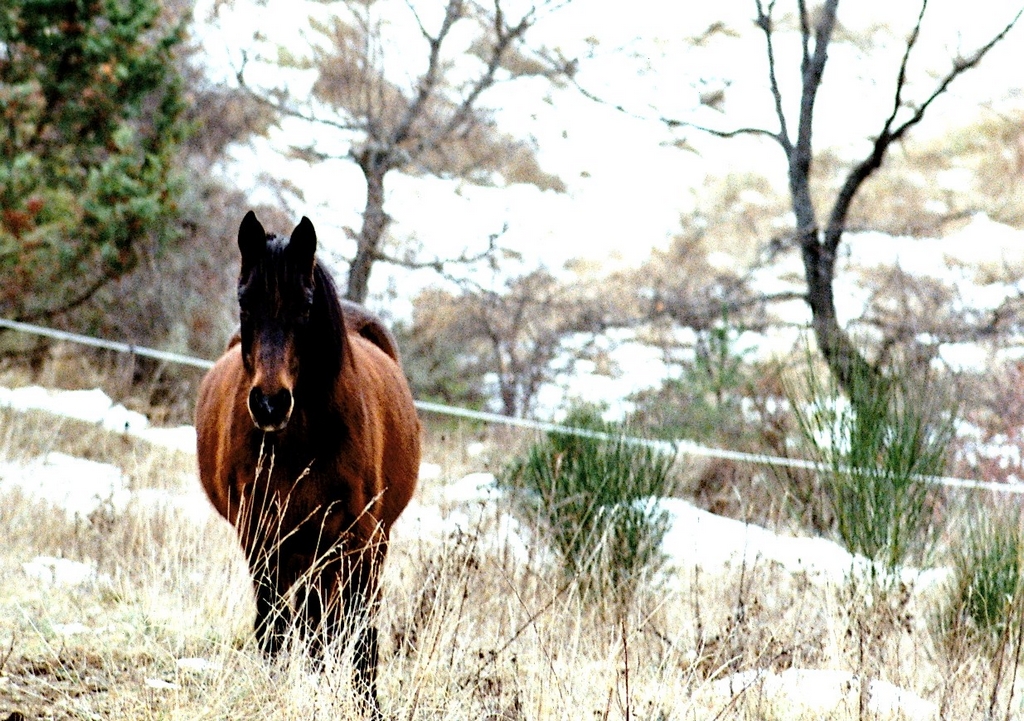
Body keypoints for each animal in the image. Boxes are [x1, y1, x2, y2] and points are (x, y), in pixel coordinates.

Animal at [195, 209, 419, 716]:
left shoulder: (355, 540)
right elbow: (274, 626)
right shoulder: (263, 537)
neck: (297, 444)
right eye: (245, 301)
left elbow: (354, 635)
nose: (269, 404)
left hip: (354, 547)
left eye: (305, 305)